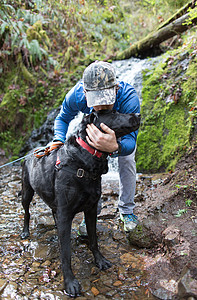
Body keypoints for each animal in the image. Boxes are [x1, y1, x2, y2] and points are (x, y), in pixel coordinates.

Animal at [20, 110, 141, 298]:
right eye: (114, 113)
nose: (138, 114)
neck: (86, 158)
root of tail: (31, 151)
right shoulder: (65, 214)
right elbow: (66, 253)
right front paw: (70, 283)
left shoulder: (91, 210)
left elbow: (93, 240)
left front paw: (100, 260)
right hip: (27, 192)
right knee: (27, 212)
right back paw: (25, 231)